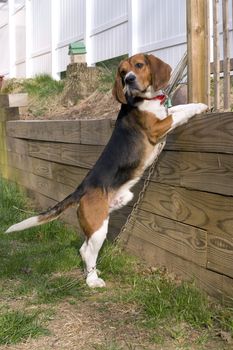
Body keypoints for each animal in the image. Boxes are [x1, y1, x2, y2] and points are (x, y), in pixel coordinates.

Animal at [5, 54, 207, 288]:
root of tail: (81, 189)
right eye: (122, 72)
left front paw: (197, 104)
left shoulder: (163, 115)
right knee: (86, 251)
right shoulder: (157, 128)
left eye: (139, 65)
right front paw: (200, 107)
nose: (128, 80)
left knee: (84, 249)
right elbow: (178, 114)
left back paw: (91, 272)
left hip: (105, 216)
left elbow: (177, 109)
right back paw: (93, 280)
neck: (146, 99)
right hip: (98, 227)